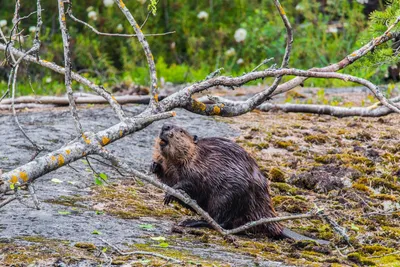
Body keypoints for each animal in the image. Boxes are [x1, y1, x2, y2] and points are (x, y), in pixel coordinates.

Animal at [152, 123, 330, 245]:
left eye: (181, 131)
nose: (165, 126)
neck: (195, 154)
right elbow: (166, 178)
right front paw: (154, 166)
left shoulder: (199, 167)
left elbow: (191, 183)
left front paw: (170, 194)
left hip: (226, 197)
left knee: (221, 222)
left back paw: (190, 222)